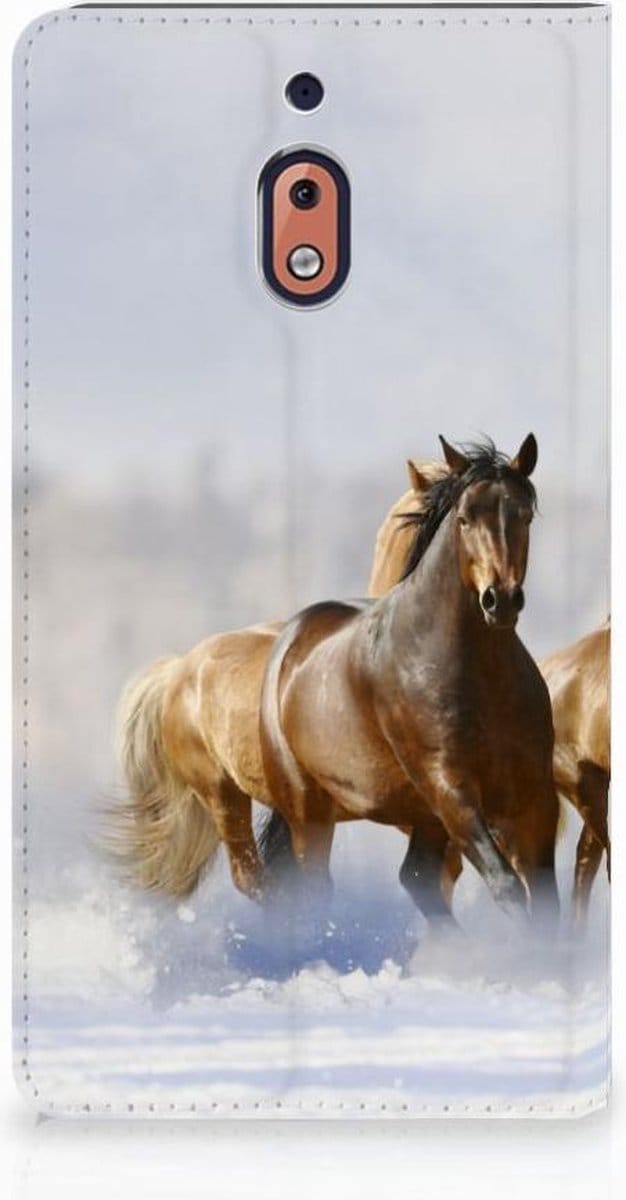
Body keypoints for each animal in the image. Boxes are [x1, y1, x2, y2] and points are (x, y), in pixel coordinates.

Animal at [258, 435, 560, 924]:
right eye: (464, 518)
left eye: (524, 515)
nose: (500, 600)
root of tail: (291, 639)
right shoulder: (450, 788)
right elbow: (507, 885)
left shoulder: (535, 795)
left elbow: (547, 901)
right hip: (309, 811)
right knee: (316, 888)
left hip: (422, 818)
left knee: (417, 877)